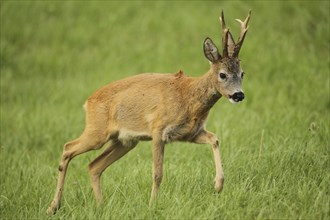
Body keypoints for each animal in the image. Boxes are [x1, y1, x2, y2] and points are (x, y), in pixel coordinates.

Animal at [46, 10, 251, 215]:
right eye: (222, 74)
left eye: (242, 73)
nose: (238, 95)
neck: (189, 97)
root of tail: (88, 102)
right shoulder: (158, 129)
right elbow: (157, 173)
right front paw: (152, 205)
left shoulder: (191, 133)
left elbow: (215, 139)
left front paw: (218, 185)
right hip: (97, 131)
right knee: (68, 148)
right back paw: (53, 206)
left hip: (125, 141)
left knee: (94, 166)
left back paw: (100, 206)